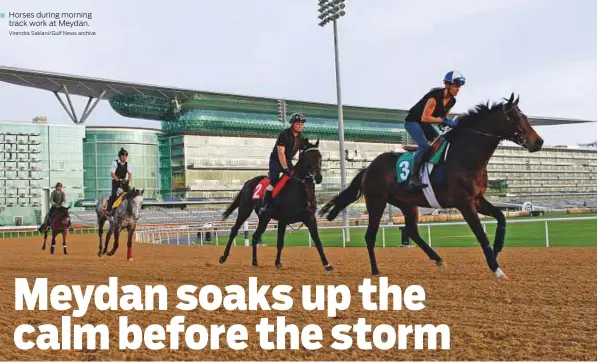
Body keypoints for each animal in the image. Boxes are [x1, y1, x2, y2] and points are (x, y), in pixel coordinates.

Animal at [220, 140, 336, 270]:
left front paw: (327, 264)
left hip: (264, 218)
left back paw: (255, 262)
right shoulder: (283, 220)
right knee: (234, 230)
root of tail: (248, 182)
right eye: (308, 157)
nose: (318, 177)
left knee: (255, 236)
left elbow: (317, 241)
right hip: (245, 210)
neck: (301, 191)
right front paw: (277, 263)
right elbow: (280, 242)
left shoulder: (310, 218)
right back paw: (223, 257)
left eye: (320, 157)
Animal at [322, 93, 548, 278]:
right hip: (376, 201)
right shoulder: (464, 202)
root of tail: (368, 168)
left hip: (407, 203)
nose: (538, 142)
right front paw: (496, 269)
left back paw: (438, 259)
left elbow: (501, 217)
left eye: (524, 116)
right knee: (370, 235)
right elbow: (480, 233)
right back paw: (376, 270)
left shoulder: (477, 199)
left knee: (412, 231)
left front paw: (497, 249)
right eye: (515, 118)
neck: (465, 156)